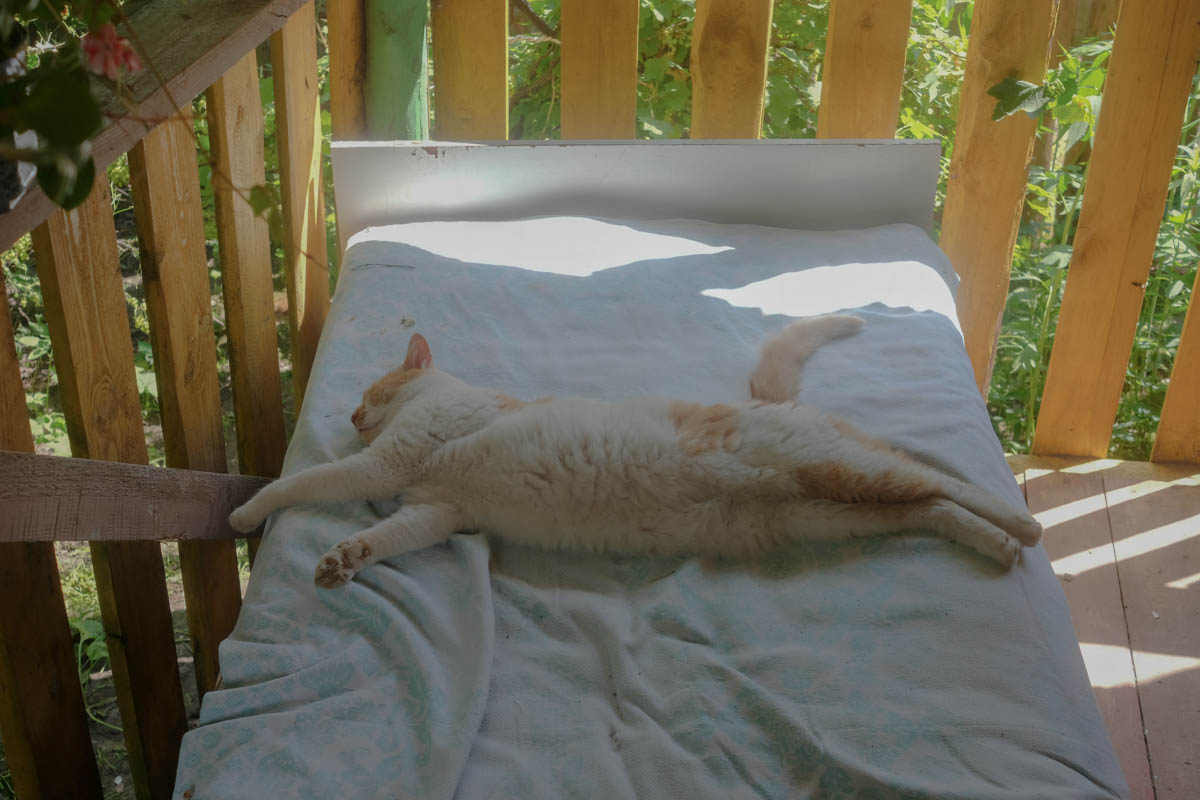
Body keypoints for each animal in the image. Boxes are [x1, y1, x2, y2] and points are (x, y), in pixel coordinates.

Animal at [226, 316, 1041, 587]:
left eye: (373, 387)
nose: (352, 412)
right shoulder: (437, 512)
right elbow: (384, 538)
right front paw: (343, 560)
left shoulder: (390, 465)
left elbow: (302, 483)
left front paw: (245, 513)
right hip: (832, 514)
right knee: (930, 506)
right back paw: (996, 547)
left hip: (840, 472)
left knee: (944, 481)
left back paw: (1023, 526)